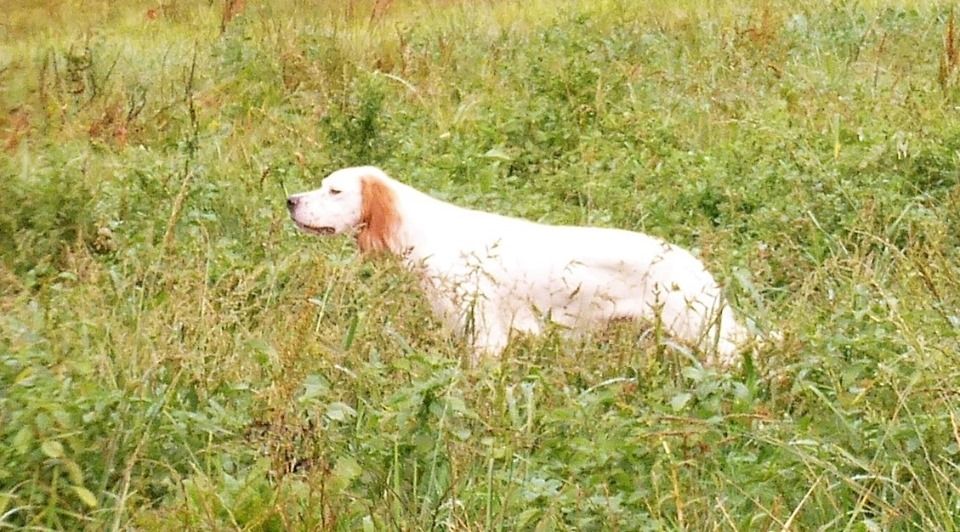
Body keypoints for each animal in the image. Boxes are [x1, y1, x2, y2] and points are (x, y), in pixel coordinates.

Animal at [286, 166, 752, 366]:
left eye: (334, 190)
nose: (290, 200)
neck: (428, 234)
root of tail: (693, 263)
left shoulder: (486, 334)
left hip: (706, 332)